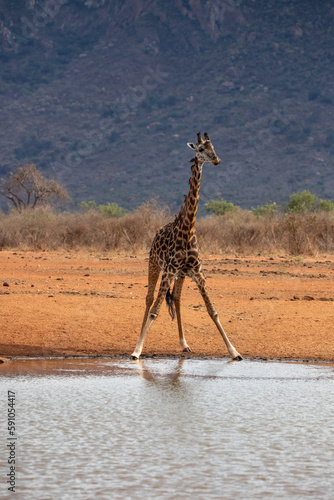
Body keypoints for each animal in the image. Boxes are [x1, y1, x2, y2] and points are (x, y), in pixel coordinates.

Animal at [131, 131, 243, 362]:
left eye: (213, 147)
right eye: (200, 149)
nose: (216, 160)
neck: (188, 229)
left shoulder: (197, 272)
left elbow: (212, 310)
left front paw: (234, 351)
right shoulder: (169, 270)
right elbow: (155, 310)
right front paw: (137, 350)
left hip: (180, 275)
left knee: (177, 298)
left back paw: (184, 343)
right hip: (154, 265)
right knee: (149, 299)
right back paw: (139, 339)